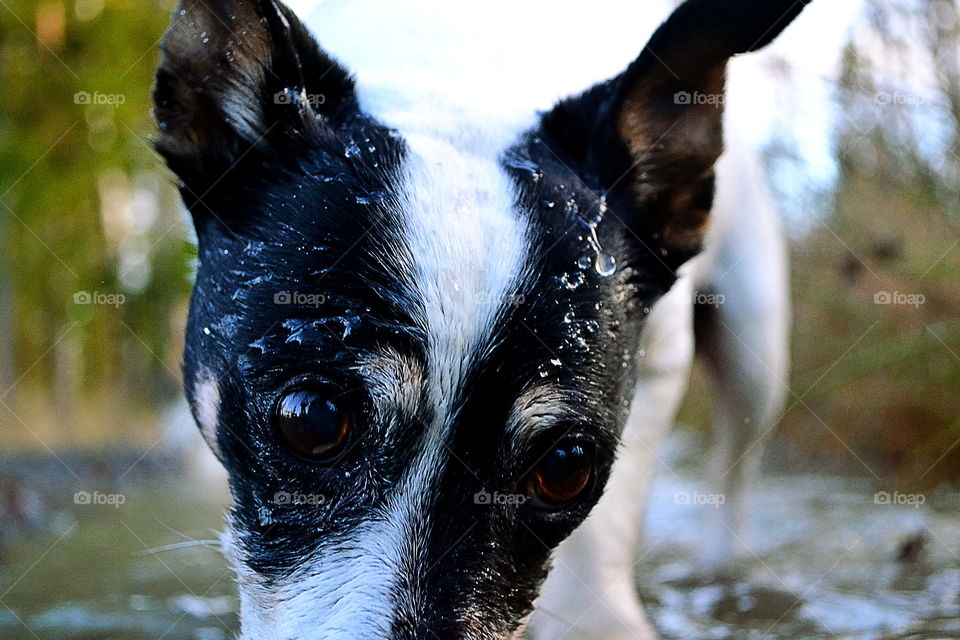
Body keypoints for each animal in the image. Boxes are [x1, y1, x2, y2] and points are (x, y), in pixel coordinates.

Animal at [154, 0, 808, 636]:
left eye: (567, 468)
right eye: (313, 419)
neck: (457, 90)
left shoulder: (659, 365)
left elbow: (601, 540)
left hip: (756, 362)